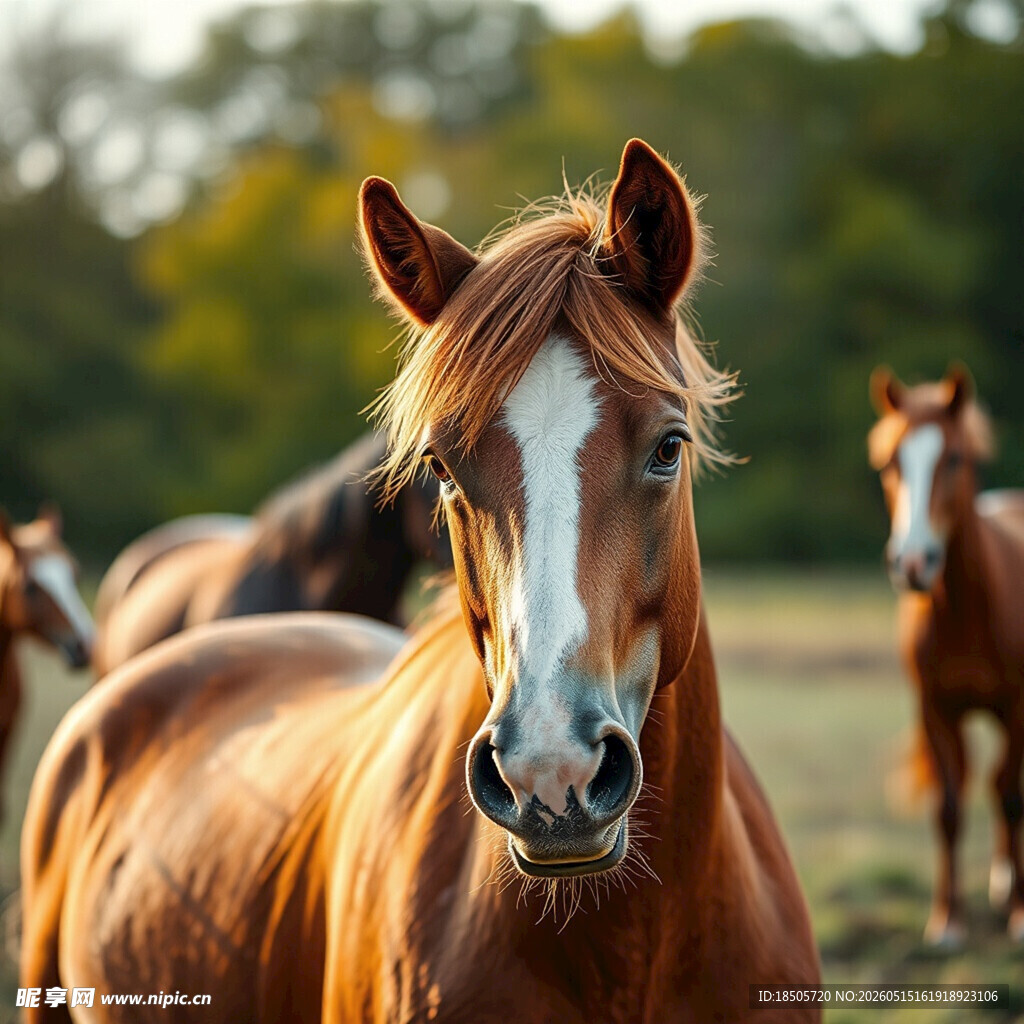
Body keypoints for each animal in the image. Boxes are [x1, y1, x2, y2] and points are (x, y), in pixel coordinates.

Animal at [869, 365, 1024, 945]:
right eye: (890, 463)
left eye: (954, 458)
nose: (913, 562)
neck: (965, 614)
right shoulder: (935, 711)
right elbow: (951, 807)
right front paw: (947, 921)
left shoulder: (1019, 709)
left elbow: (1009, 798)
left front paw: (1018, 915)